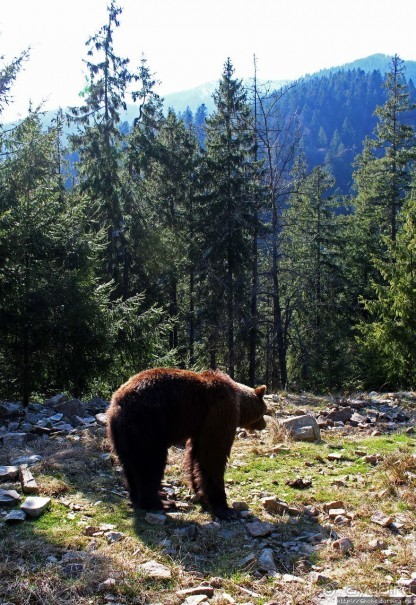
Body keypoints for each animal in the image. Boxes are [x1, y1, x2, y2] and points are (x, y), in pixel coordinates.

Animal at [107, 368, 268, 520]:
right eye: (264, 411)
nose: (264, 424)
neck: (239, 404)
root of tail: (117, 404)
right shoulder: (217, 412)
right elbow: (214, 455)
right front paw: (224, 508)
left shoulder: (199, 427)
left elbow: (196, 455)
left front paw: (199, 491)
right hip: (148, 426)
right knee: (150, 464)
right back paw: (160, 502)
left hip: (122, 435)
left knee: (130, 466)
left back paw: (141, 498)